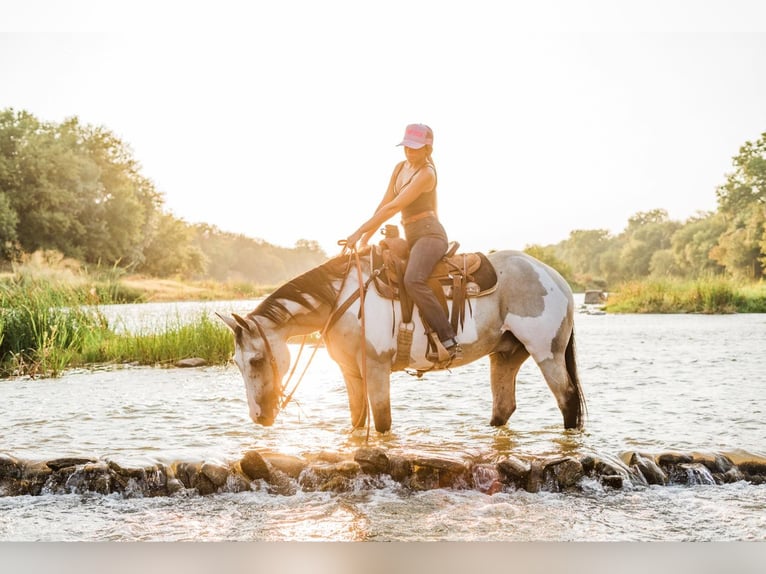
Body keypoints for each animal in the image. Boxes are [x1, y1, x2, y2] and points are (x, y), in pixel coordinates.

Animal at [216, 250, 588, 434]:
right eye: (237, 363)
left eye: (256, 361)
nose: (259, 417)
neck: (343, 299)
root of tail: (556, 278)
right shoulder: (352, 373)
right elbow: (358, 421)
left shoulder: (377, 368)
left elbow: (382, 422)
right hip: (507, 354)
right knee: (503, 408)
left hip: (547, 352)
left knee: (567, 400)